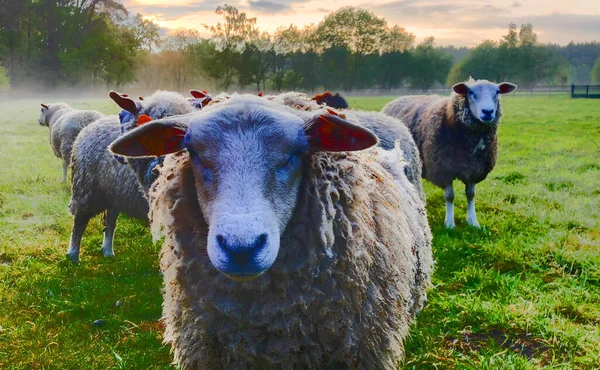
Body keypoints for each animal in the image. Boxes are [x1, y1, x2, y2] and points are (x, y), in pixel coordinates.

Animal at [67, 89, 196, 264]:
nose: (116, 155)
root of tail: (91, 125)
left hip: (114, 194)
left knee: (110, 221)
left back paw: (107, 251)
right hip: (86, 189)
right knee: (79, 223)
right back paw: (73, 255)